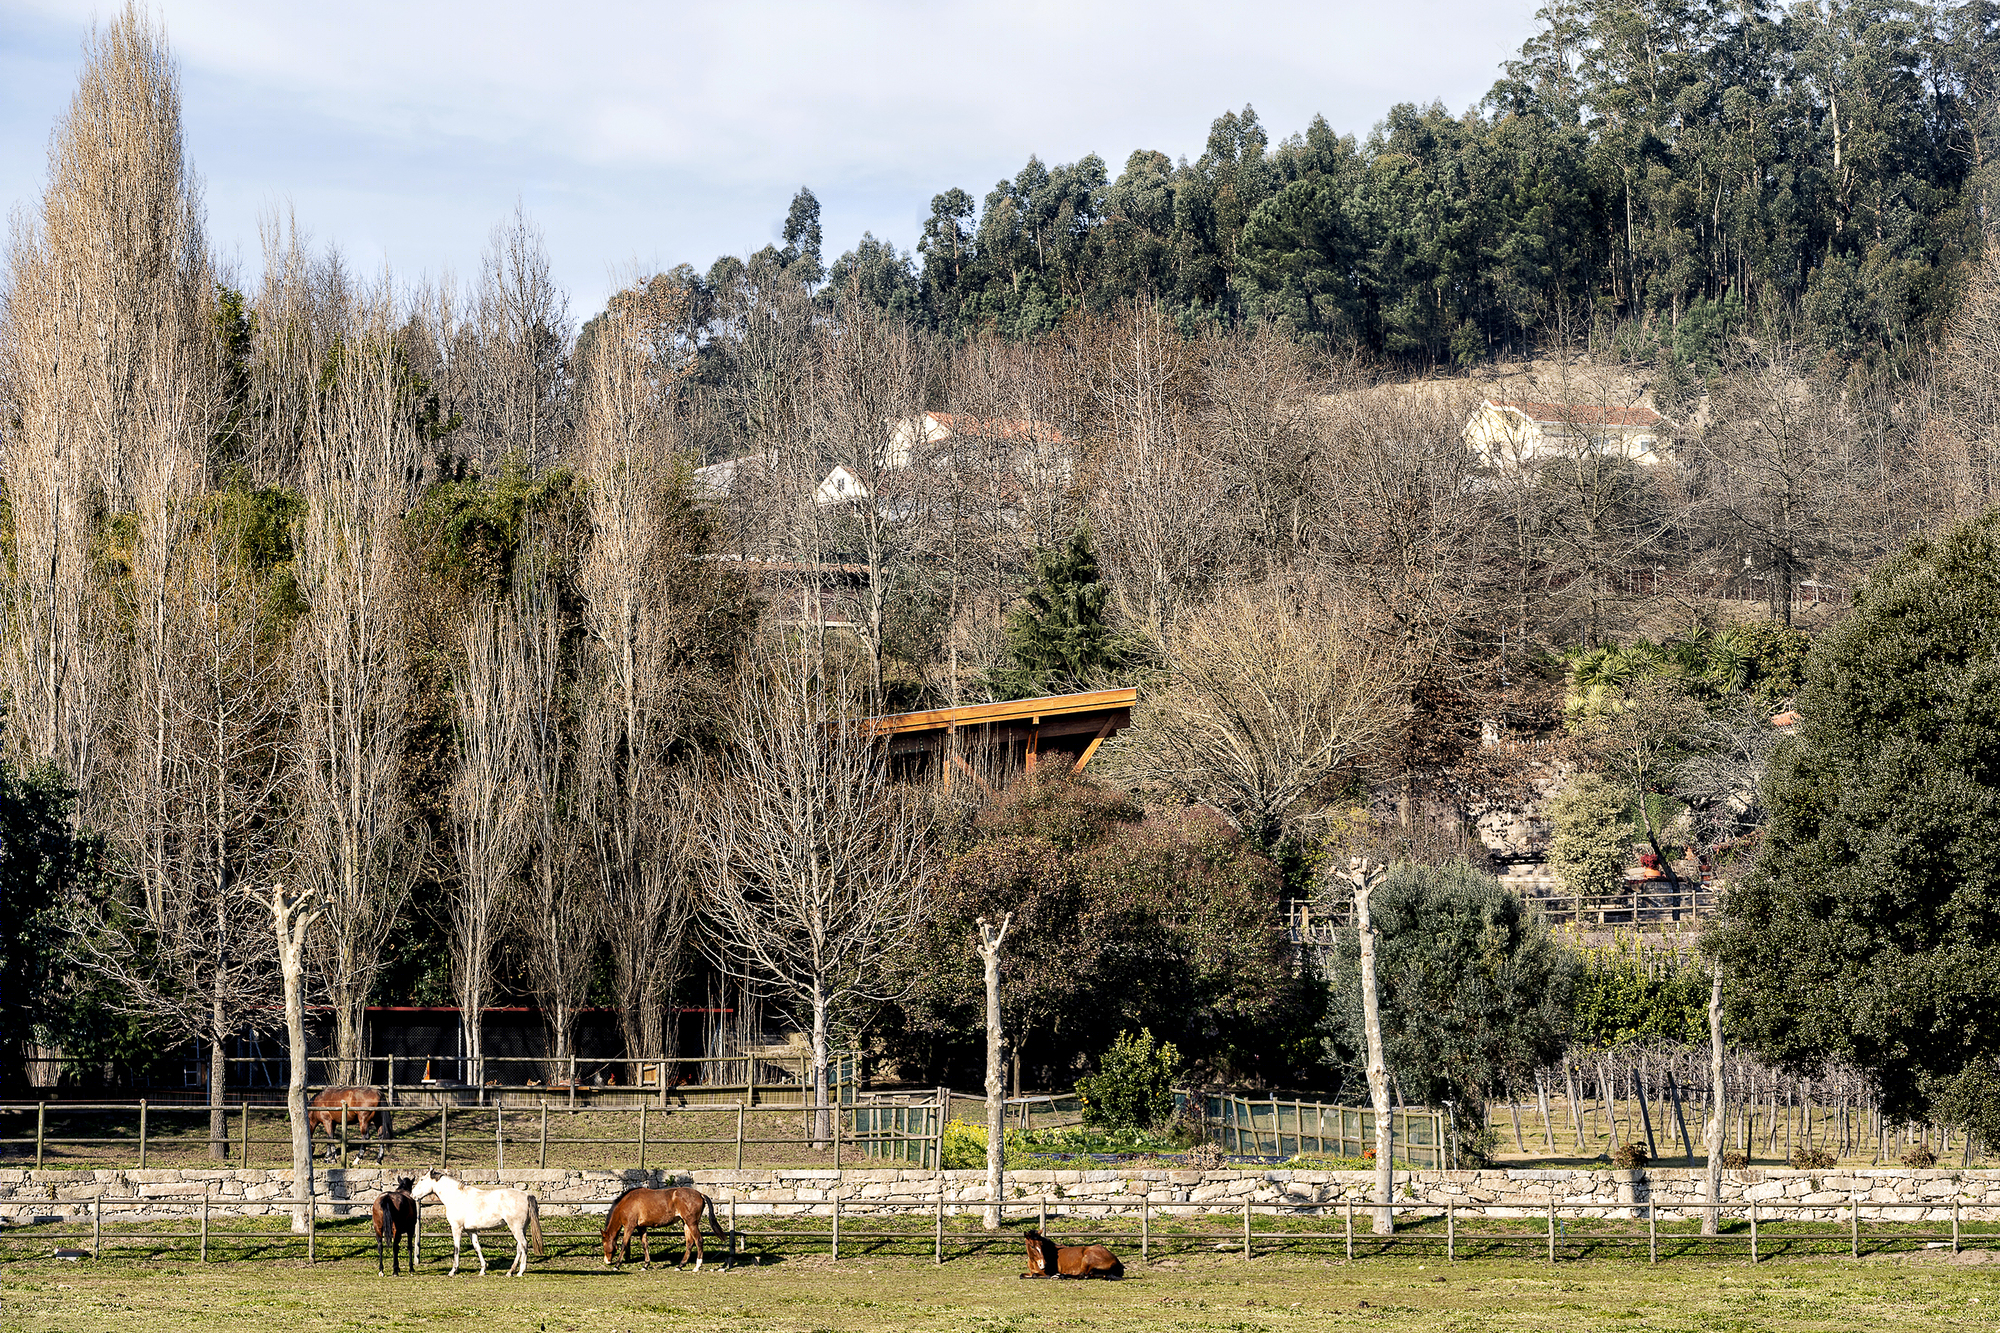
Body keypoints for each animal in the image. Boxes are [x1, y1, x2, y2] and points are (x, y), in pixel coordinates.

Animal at [410, 1168, 544, 1277]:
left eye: (422, 1179)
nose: (412, 1195)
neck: (456, 1196)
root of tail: (527, 1195)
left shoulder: (456, 1228)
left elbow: (457, 1248)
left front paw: (453, 1270)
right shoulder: (471, 1230)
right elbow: (477, 1247)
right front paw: (483, 1270)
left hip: (516, 1228)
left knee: (524, 1245)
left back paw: (520, 1271)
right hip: (522, 1229)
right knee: (519, 1247)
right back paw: (510, 1271)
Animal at [600, 1186, 729, 1271]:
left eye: (603, 1243)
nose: (606, 1261)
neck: (627, 1202)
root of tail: (699, 1194)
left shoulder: (629, 1226)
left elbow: (624, 1244)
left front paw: (617, 1265)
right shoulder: (641, 1228)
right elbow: (645, 1244)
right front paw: (645, 1265)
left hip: (691, 1223)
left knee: (699, 1240)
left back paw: (697, 1266)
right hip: (686, 1223)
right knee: (690, 1243)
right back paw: (680, 1266)